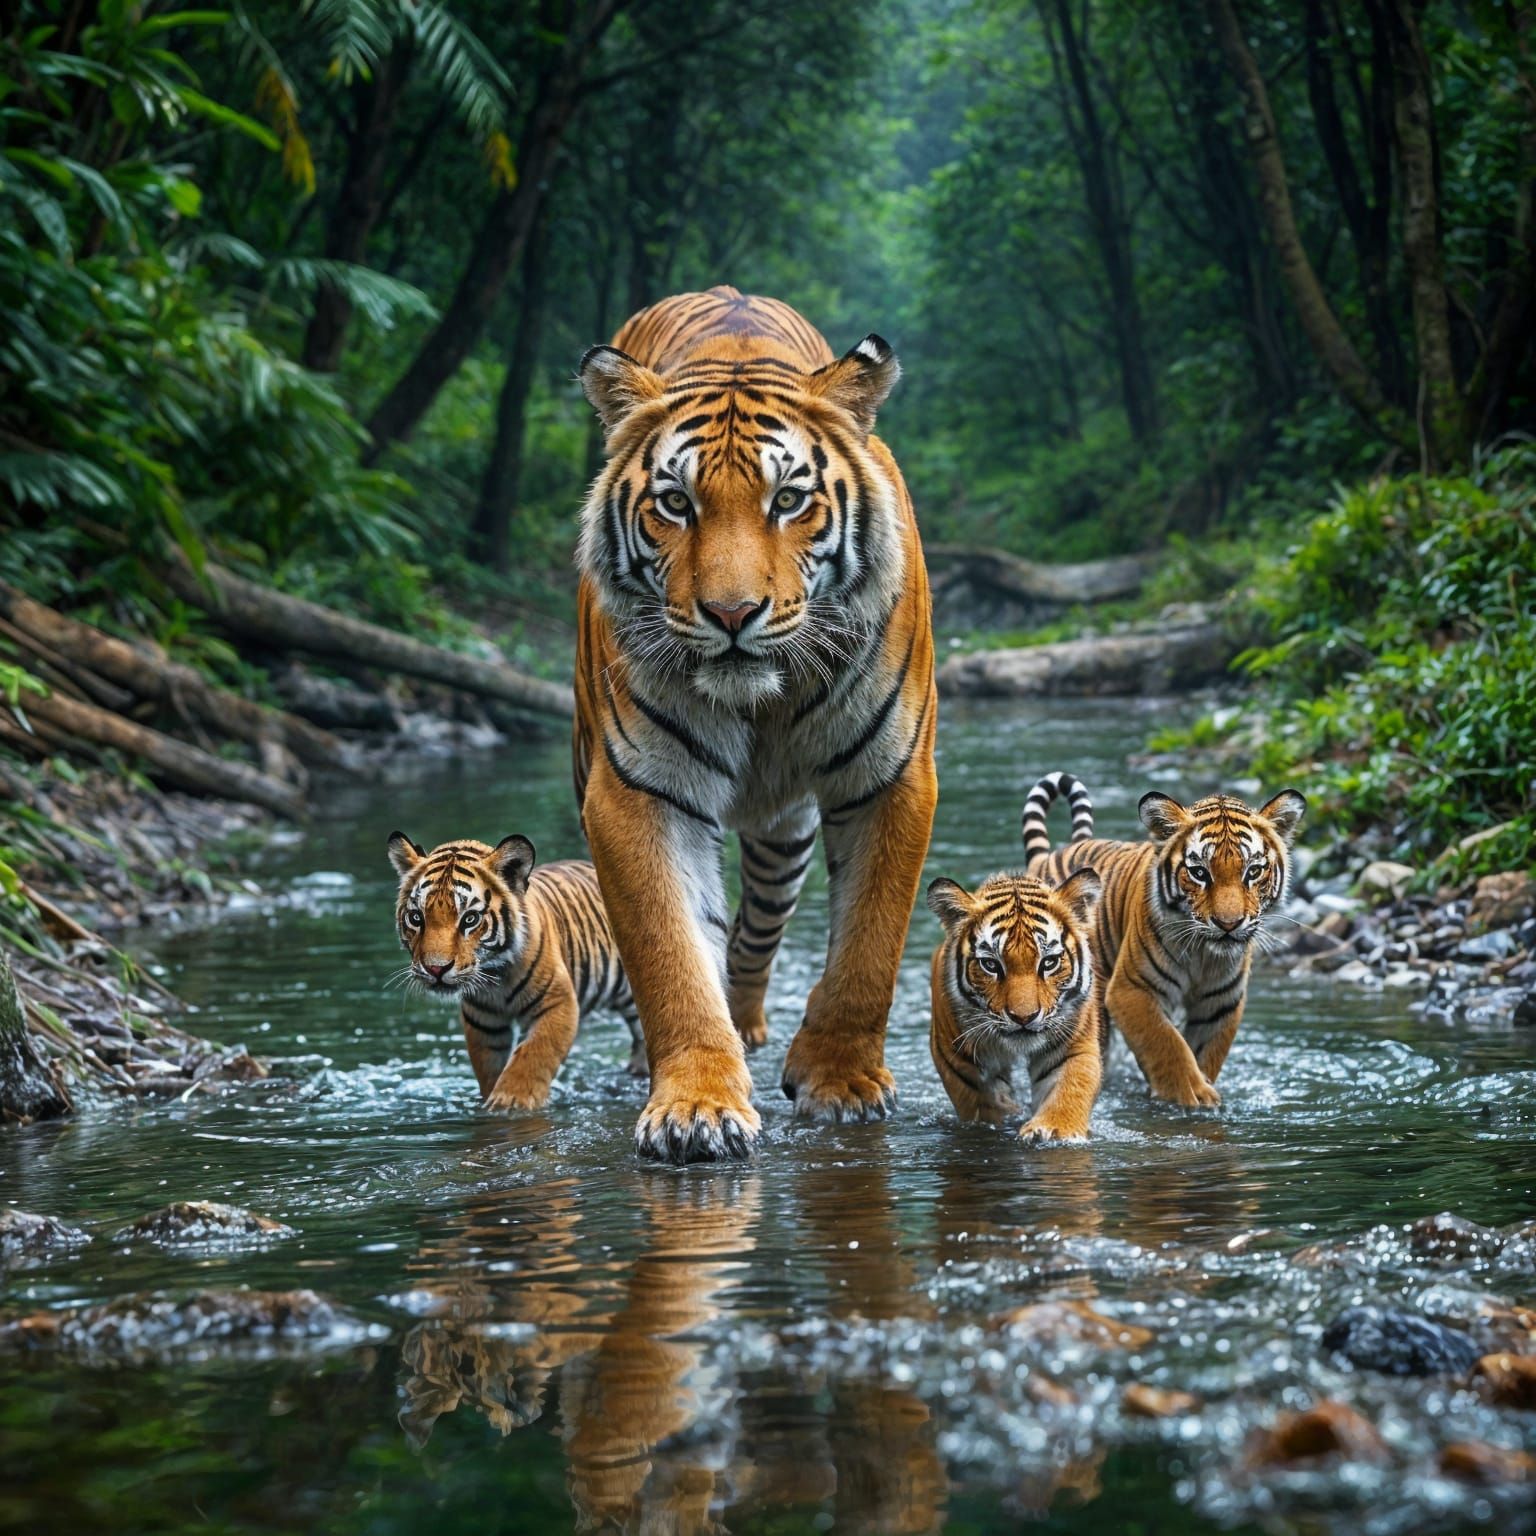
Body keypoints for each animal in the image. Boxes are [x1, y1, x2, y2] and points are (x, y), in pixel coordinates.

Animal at [387, 832, 642, 1110]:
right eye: (416, 917)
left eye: (469, 919)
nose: (436, 968)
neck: (495, 976)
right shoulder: (483, 1021)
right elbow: (489, 1068)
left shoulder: (557, 1003)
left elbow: (533, 1056)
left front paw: (510, 1103)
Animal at [572, 285, 938, 1163]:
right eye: (676, 503)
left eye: (789, 500)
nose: (732, 614)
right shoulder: (638, 792)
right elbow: (669, 955)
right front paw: (697, 1104)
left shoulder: (891, 777)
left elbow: (869, 949)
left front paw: (840, 1083)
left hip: (784, 840)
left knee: (753, 937)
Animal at [925, 864, 1106, 1142]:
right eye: (990, 965)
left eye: (1049, 962)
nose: (1024, 1018)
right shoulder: (955, 1054)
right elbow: (981, 1100)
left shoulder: (1073, 1043)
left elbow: (1070, 1086)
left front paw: (1053, 1130)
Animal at [1021, 771, 1306, 1107]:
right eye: (1199, 873)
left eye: (1253, 871)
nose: (1228, 924)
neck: (1204, 955)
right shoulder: (1131, 989)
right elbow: (1167, 1044)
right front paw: (1193, 1095)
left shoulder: (1221, 1002)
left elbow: (1205, 1053)